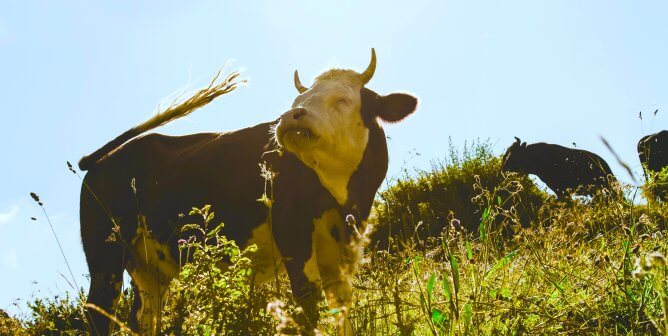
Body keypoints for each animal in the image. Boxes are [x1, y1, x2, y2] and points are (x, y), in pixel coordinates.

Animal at [79, 50, 418, 336]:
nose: (289, 117)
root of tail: (102, 160)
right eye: (299, 99)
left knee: (144, 316)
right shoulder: (292, 232)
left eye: (343, 99)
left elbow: (341, 306)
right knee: (99, 311)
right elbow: (308, 300)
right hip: (106, 253)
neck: (342, 198)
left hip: (148, 267)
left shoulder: (344, 248)